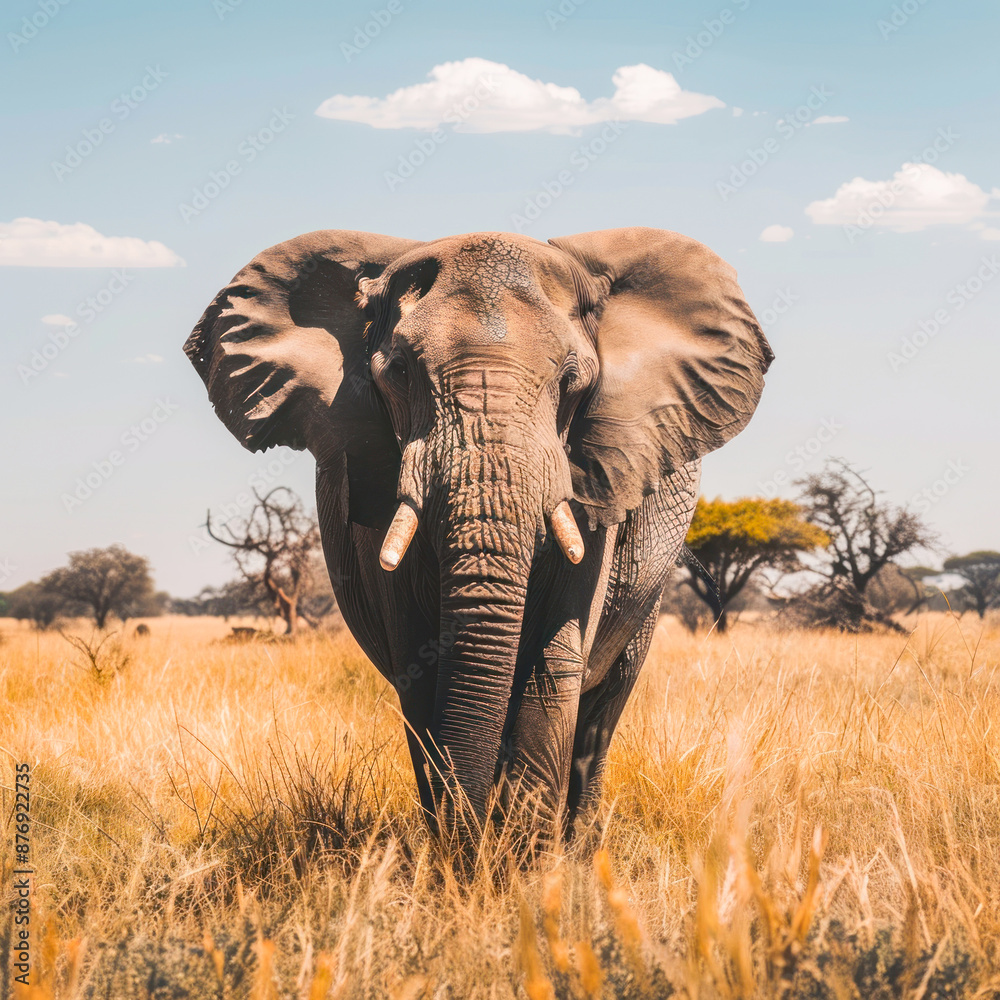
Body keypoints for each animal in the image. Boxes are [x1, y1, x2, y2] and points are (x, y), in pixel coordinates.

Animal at [184, 227, 772, 836]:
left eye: (573, 382)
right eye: (398, 373)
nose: (469, 831)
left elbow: (556, 661)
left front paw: (521, 857)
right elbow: (420, 665)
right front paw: (458, 850)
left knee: (603, 712)